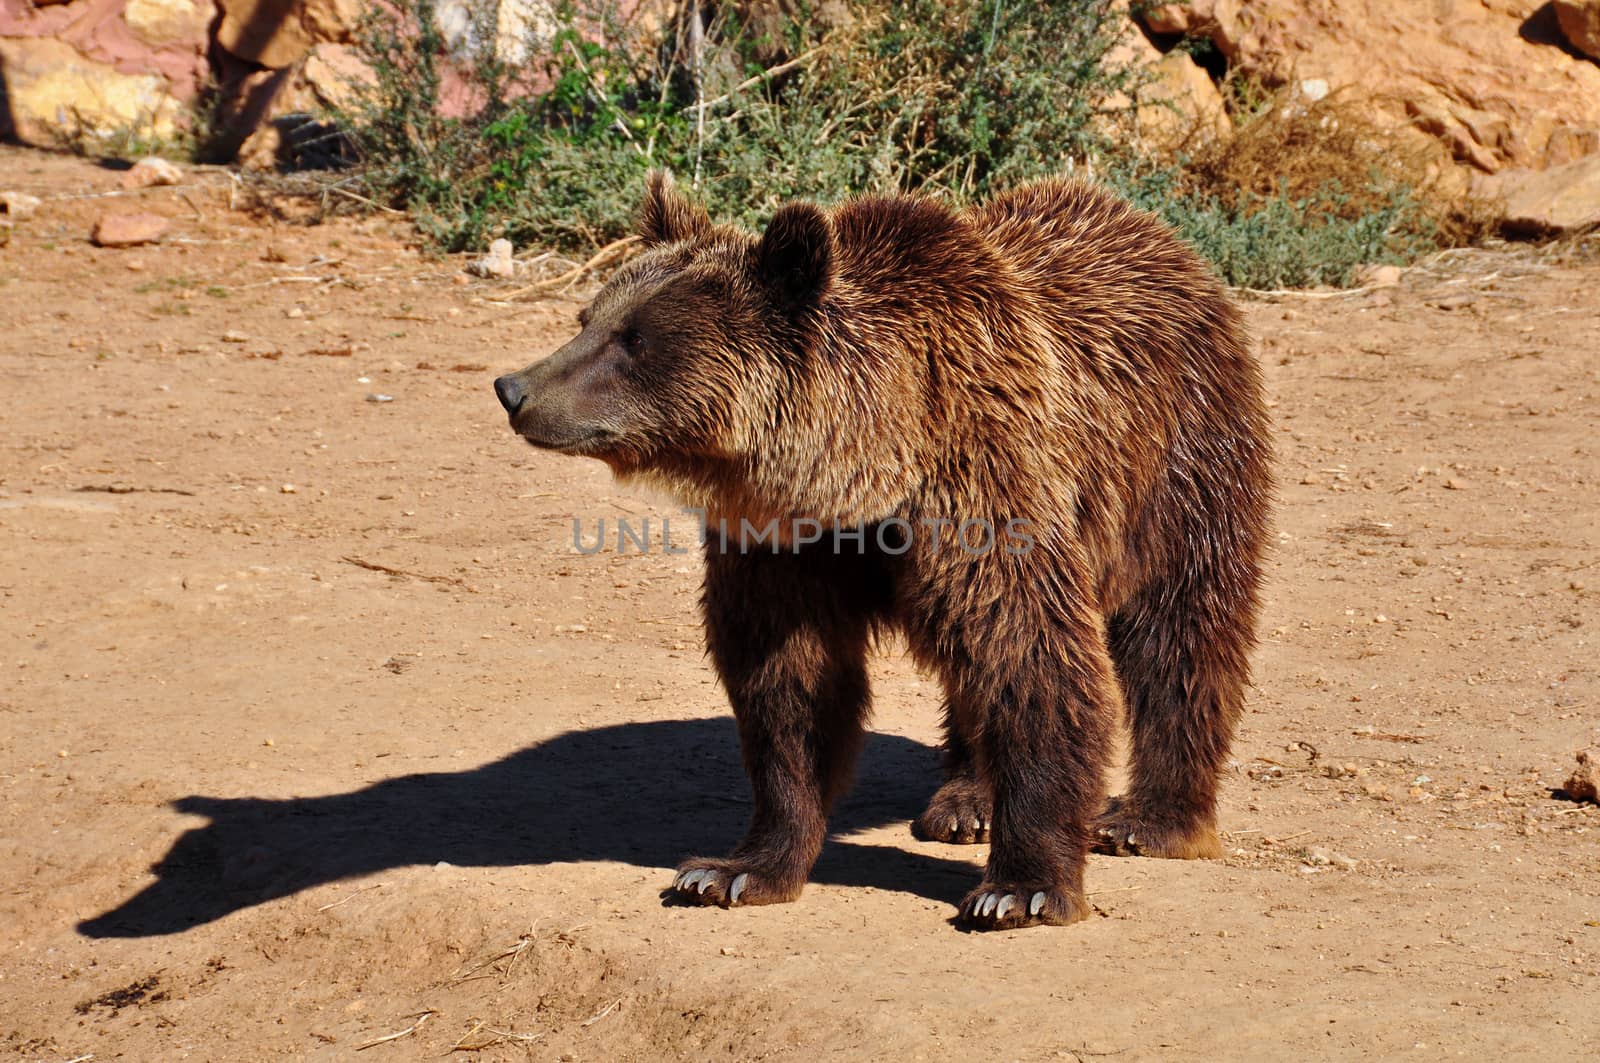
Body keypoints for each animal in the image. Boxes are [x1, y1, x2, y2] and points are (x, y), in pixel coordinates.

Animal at [492, 170, 1267, 928]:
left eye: (635, 339)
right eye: (589, 318)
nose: (513, 388)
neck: (872, 465)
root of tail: (1153, 231)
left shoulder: (983, 486)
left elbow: (1028, 654)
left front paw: (1021, 888)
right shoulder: (787, 545)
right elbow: (792, 691)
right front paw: (734, 869)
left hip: (1181, 453)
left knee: (1182, 628)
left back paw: (1150, 818)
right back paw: (965, 799)